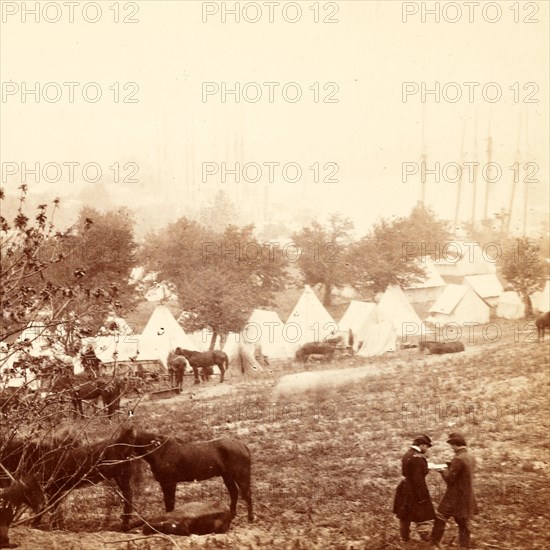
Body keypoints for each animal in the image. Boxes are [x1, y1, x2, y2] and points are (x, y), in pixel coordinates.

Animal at [0, 426, 137, 536]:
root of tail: (120, 442)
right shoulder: (51, 491)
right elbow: (52, 510)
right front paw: (56, 527)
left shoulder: (50, 490)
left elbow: (48, 509)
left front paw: (44, 527)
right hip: (122, 478)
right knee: (128, 496)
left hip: (121, 477)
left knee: (128, 497)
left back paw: (125, 525)